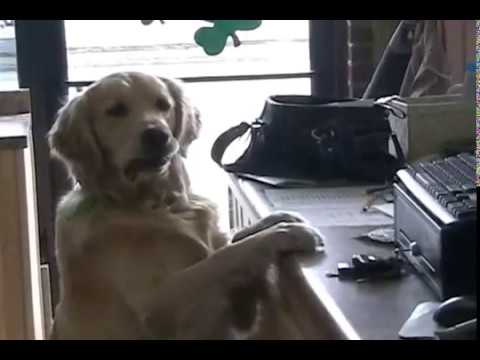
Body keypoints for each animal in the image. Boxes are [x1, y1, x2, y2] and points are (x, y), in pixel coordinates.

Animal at [47, 71, 322, 338]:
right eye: (115, 110)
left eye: (163, 105)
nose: (157, 135)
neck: (160, 202)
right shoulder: (157, 305)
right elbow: (224, 257)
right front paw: (287, 232)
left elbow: (235, 239)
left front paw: (280, 218)